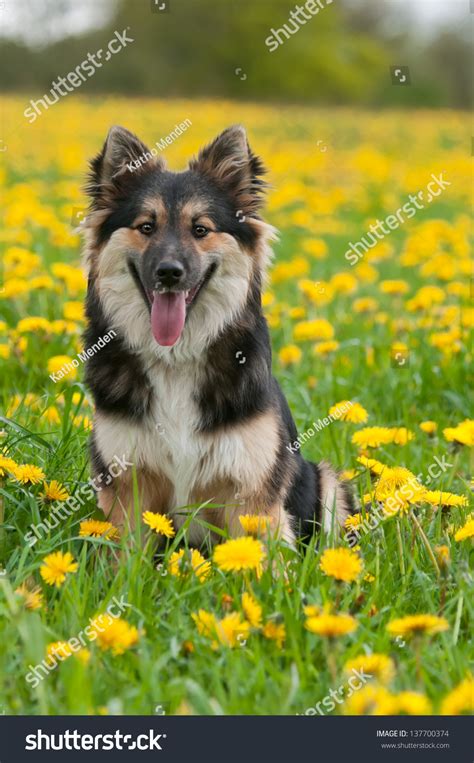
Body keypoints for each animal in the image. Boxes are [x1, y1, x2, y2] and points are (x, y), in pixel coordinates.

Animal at [81, 125, 354, 548]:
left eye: (200, 230)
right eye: (146, 227)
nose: (169, 272)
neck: (176, 359)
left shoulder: (250, 490)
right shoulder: (128, 482)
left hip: (326, 482)